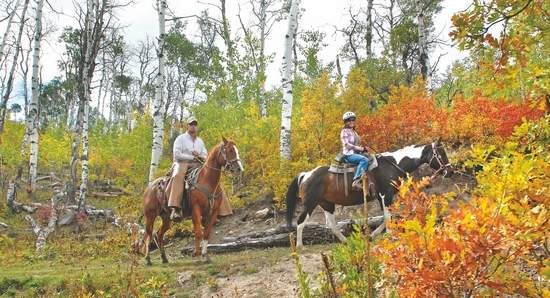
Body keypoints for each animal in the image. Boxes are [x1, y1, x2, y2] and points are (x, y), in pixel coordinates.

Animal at [142, 136, 244, 264]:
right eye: (230, 150)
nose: (239, 169)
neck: (207, 181)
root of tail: (150, 187)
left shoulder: (213, 212)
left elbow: (206, 233)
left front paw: (205, 255)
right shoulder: (196, 210)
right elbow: (198, 232)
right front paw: (196, 254)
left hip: (166, 218)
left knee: (158, 234)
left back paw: (164, 258)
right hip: (150, 215)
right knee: (148, 234)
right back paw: (147, 259)